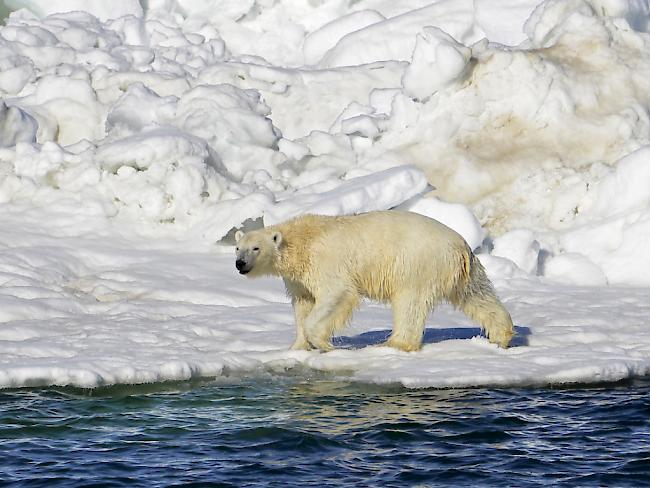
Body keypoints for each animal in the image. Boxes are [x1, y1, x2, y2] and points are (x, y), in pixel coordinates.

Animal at [233, 210, 512, 350]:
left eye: (256, 248)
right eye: (238, 248)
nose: (240, 264)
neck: (302, 241)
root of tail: (460, 246)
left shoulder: (326, 262)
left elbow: (337, 294)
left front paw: (322, 342)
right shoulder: (299, 278)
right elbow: (303, 304)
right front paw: (298, 347)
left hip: (416, 264)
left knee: (409, 303)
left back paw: (394, 343)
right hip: (462, 270)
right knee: (477, 295)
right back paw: (502, 335)